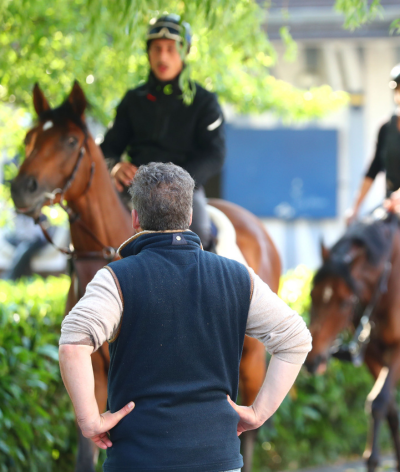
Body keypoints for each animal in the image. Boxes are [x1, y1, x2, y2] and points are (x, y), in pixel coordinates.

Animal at [11, 83, 282, 472]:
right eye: (30, 137)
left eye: (70, 140)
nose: (22, 188)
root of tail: (259, 229)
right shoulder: (92, 373)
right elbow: (86, 449)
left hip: (253, 358)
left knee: (249, 427)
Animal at [306, 217, 400, 472]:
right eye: (312, 295)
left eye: (345, 303)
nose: (312, 360)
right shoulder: (371, 353)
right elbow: (387, 405)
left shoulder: (397, 350)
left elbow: (379, 402)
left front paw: (373, 459)